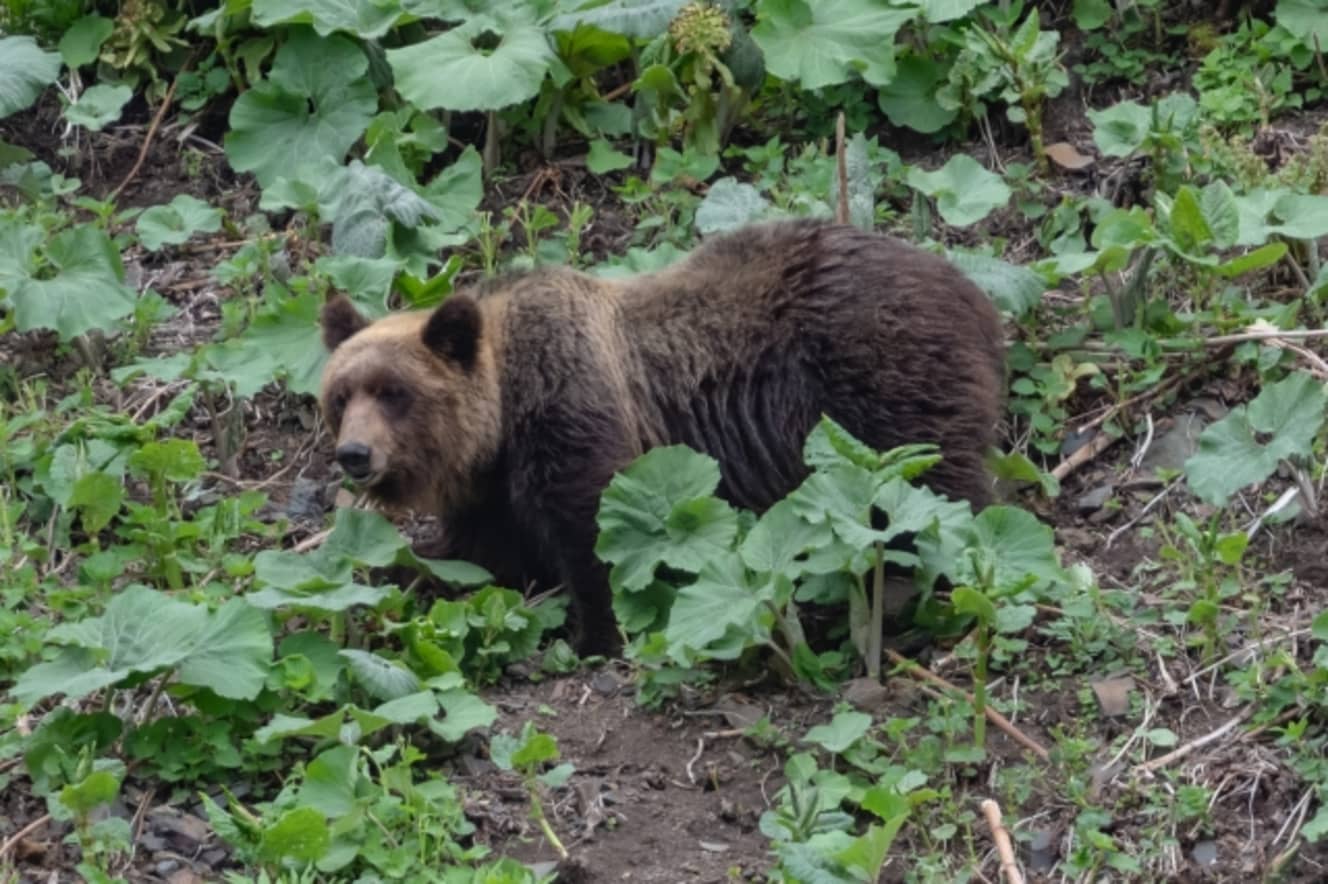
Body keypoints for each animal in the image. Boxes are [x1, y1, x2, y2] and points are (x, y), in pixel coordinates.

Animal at [321, 213, 998, 653]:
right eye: (340, 396)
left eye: (394, 392)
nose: (354, 454)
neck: (503, 415)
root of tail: (975, 294)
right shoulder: (492, 493)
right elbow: (477, 558)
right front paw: (393, 573)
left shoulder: (573, 408)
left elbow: (593, 529)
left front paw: (597, 635)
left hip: (880, 387)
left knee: (929, 497)